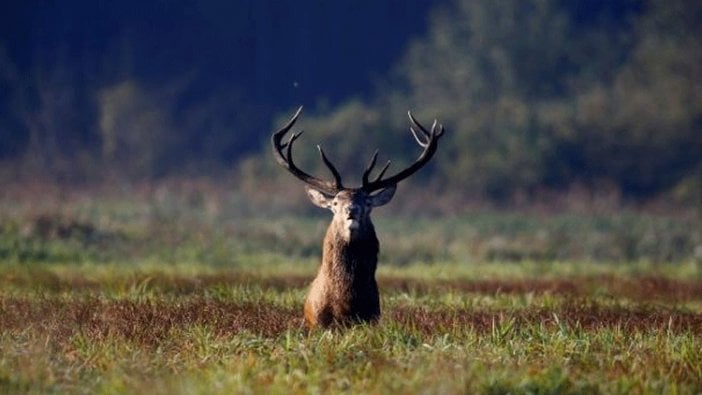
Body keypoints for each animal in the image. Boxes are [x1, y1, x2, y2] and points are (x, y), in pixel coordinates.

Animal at [270, 106, 446, 330]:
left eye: (367, 203)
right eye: (335, 203)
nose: (351, 210)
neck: (344, 305)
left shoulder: (371, 318)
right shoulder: (318, 324)